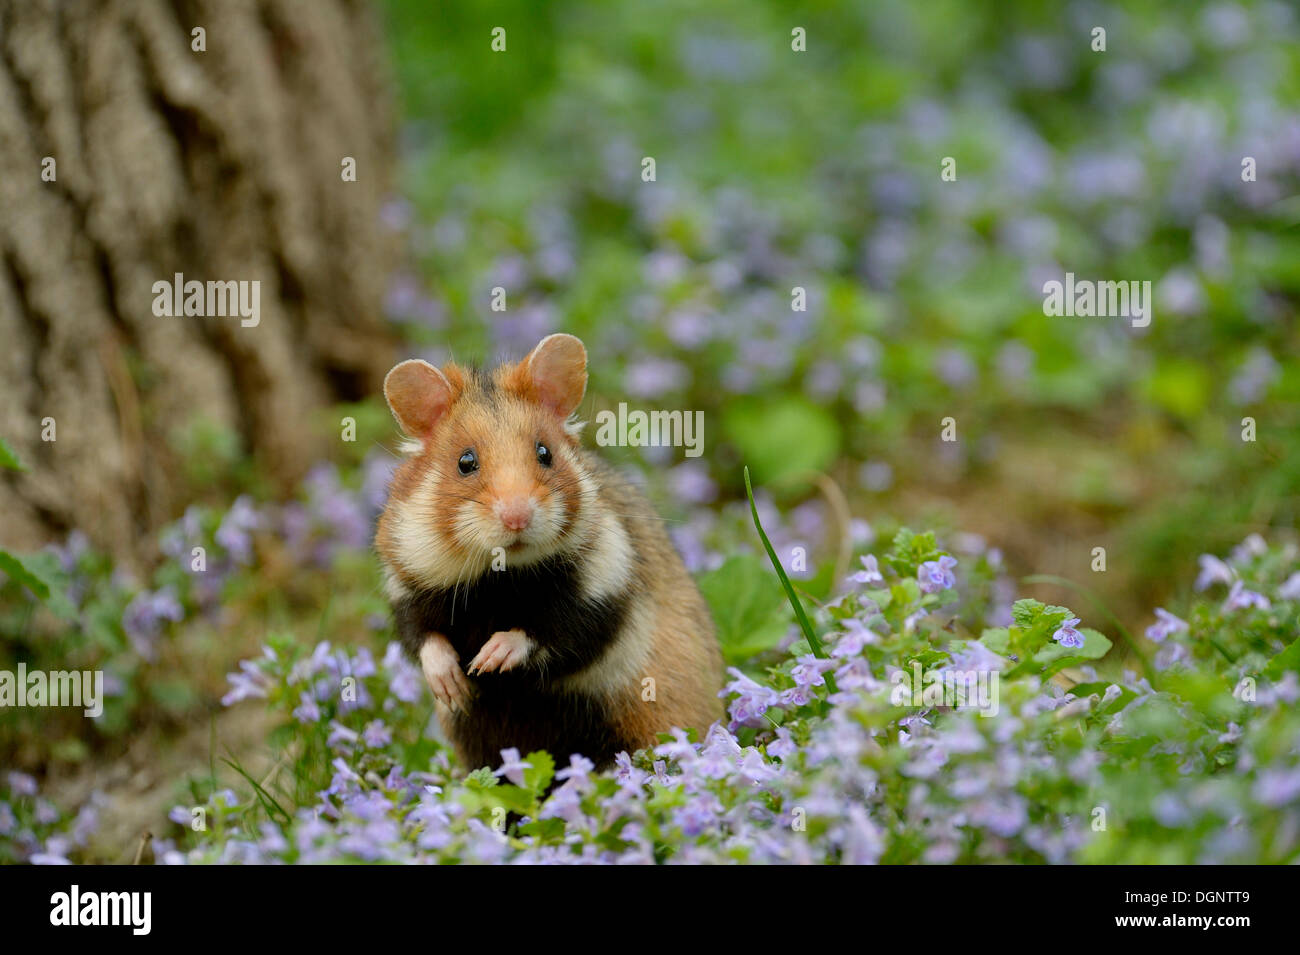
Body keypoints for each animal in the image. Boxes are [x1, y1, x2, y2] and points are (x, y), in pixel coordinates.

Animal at [377, 335, 728, 769]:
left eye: (545, 453)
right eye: (465, 462)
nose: (517, 517)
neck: (499, 577)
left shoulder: (602, 591)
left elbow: (551, 633)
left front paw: (489, 658)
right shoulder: (404, 584)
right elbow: (423, 638)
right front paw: (454, 684)